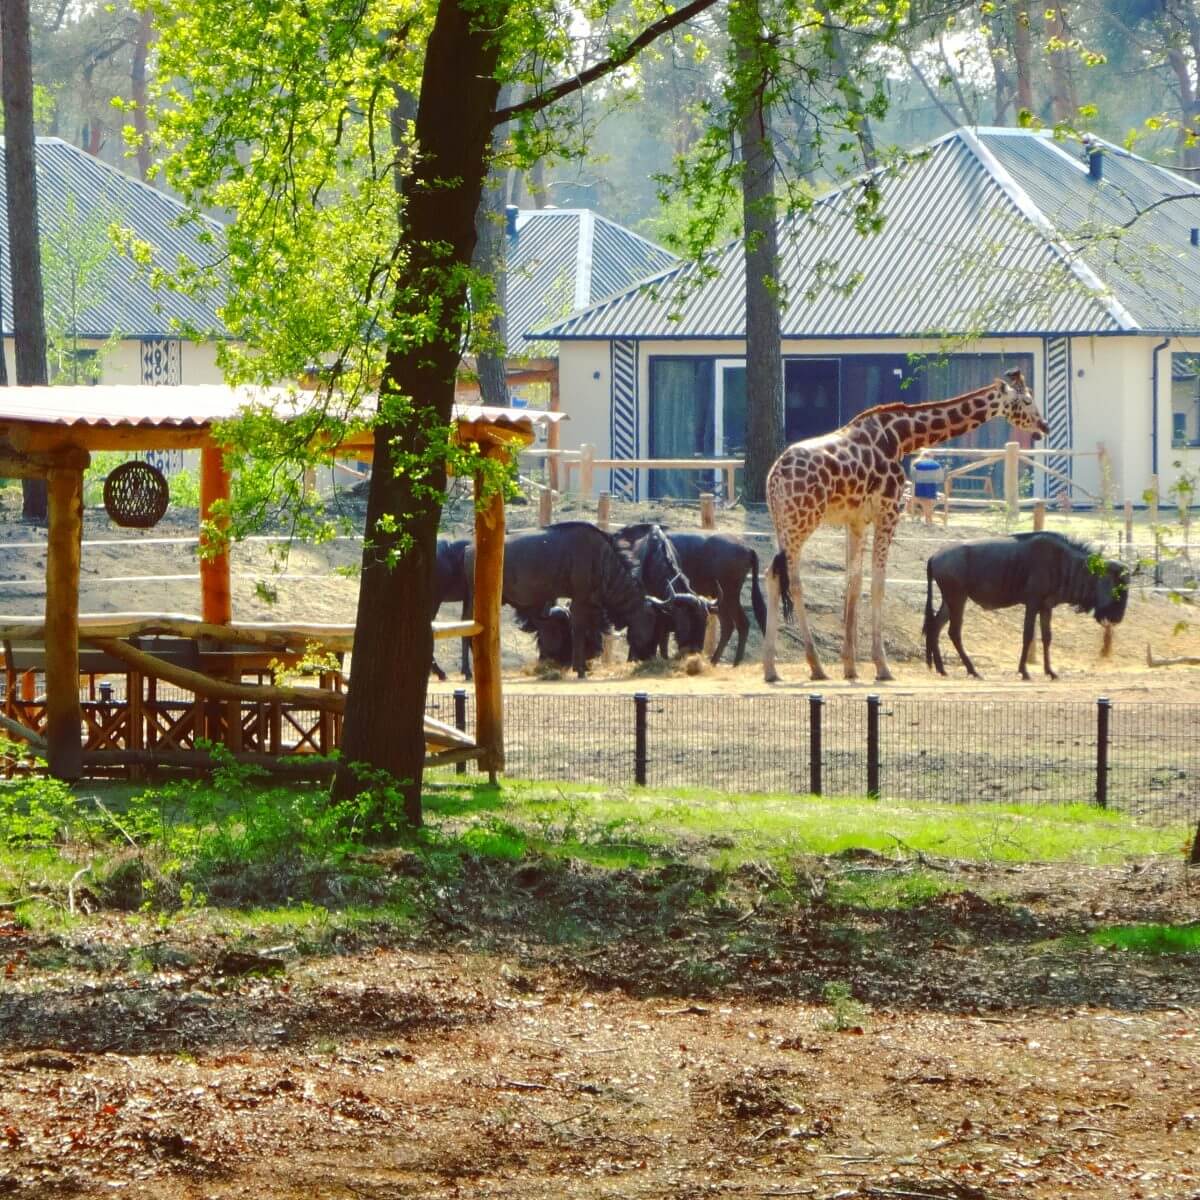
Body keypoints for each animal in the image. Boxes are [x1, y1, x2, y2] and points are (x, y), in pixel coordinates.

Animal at [763, 364, 1046, 686]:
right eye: (1026, 401)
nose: (1043, 427)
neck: (901, 437)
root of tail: (774, 477)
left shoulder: (856, 519)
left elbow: (853, 581)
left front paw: (850, 666)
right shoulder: (888, 511)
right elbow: (878, 582)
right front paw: (881, 666)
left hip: (782, 523)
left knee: (773, 574)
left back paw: (771, 668)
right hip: (802, 519)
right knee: (794, 581)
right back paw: (815, 665)